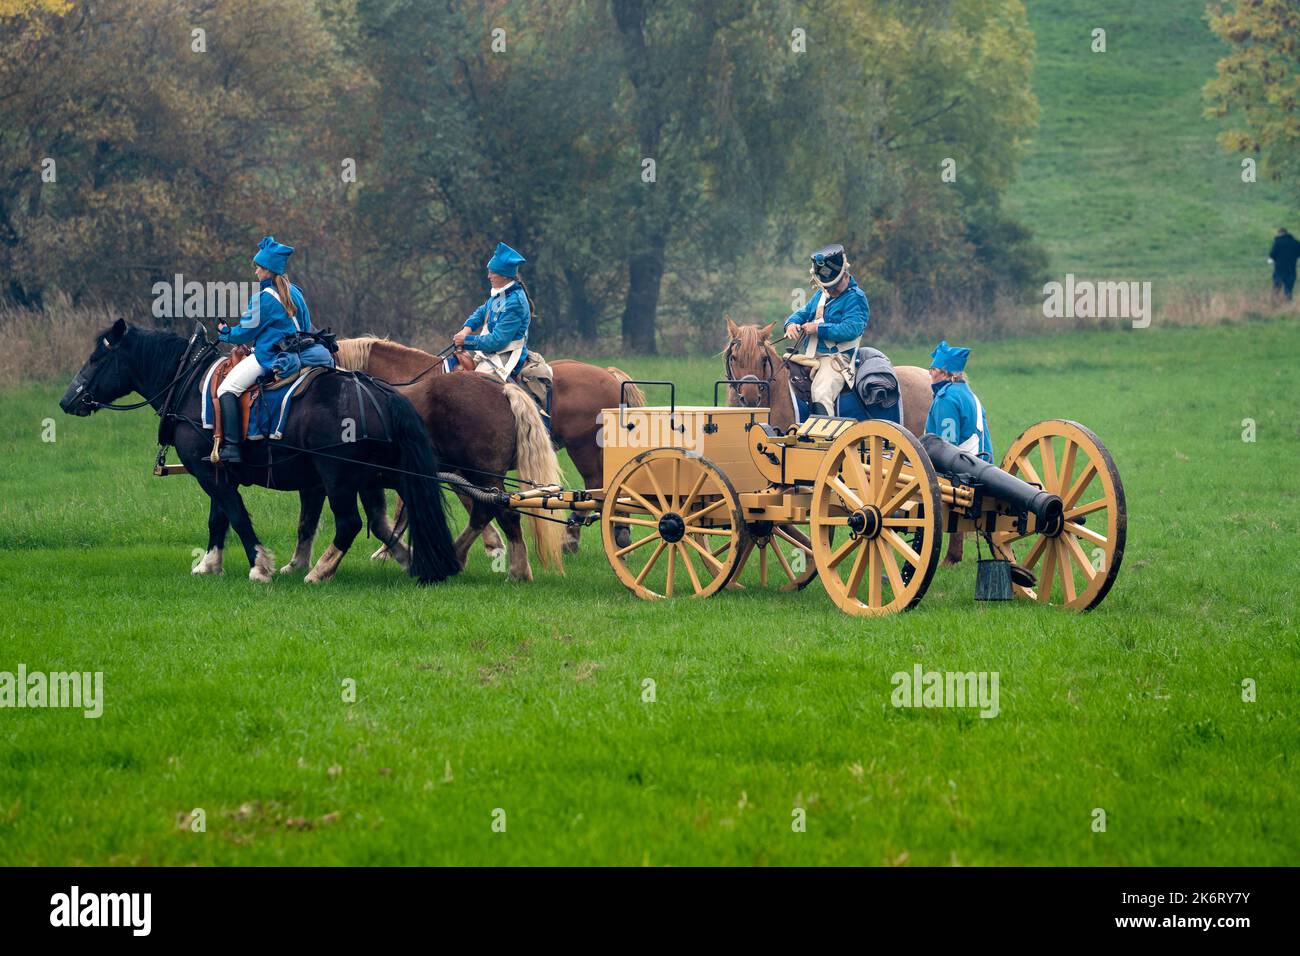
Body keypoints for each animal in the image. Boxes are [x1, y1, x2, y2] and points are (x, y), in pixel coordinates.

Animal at [61, 321, 460, 587]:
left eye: (97, 358)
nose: (66, 401)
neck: (188, 385)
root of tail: (380, 392)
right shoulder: (216, 471)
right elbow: (218, 519)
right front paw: (210, 565)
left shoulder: (212, 476)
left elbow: (237, 517)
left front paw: (260, 566)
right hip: (374, 477)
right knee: (393, 517)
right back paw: (419, 560)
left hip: (339, 478)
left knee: (351, 524)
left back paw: (320, 572)